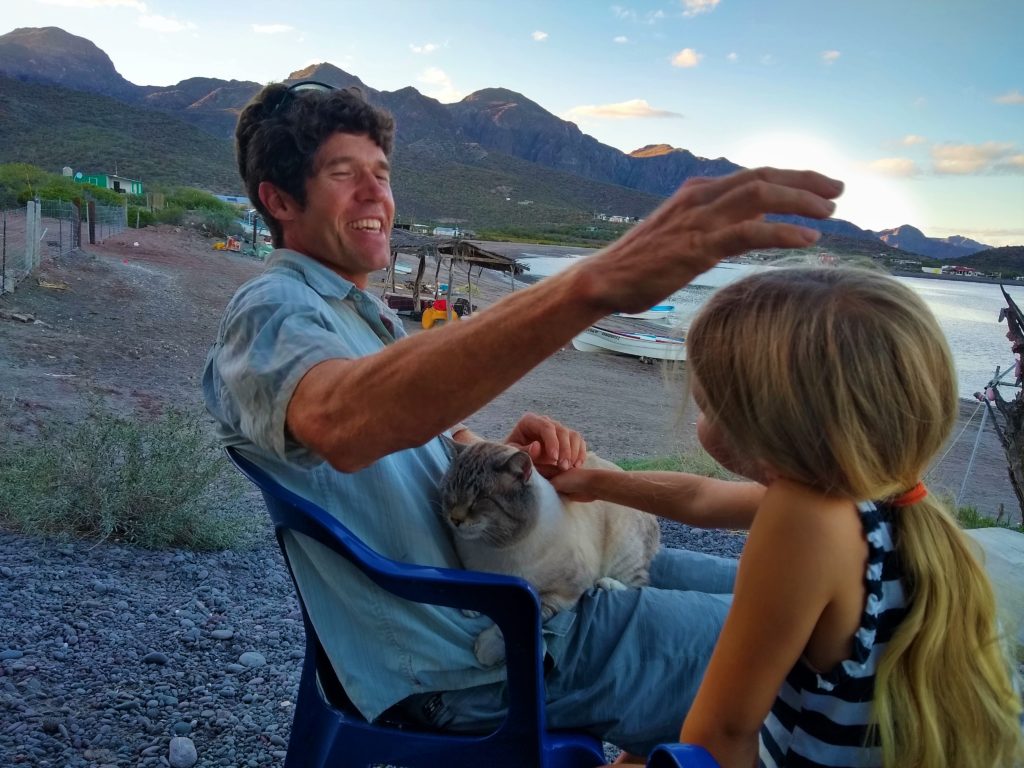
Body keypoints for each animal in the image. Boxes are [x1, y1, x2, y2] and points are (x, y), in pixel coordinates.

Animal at [436, 438, 659, 667]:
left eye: (480, 499)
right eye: (450, 493)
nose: (455, 519)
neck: (495, 547)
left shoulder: (565, 593)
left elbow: (524, 618)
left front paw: (488, 647)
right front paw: (470, 604)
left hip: (622, 553)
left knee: (641, 584)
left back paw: (607, 583)